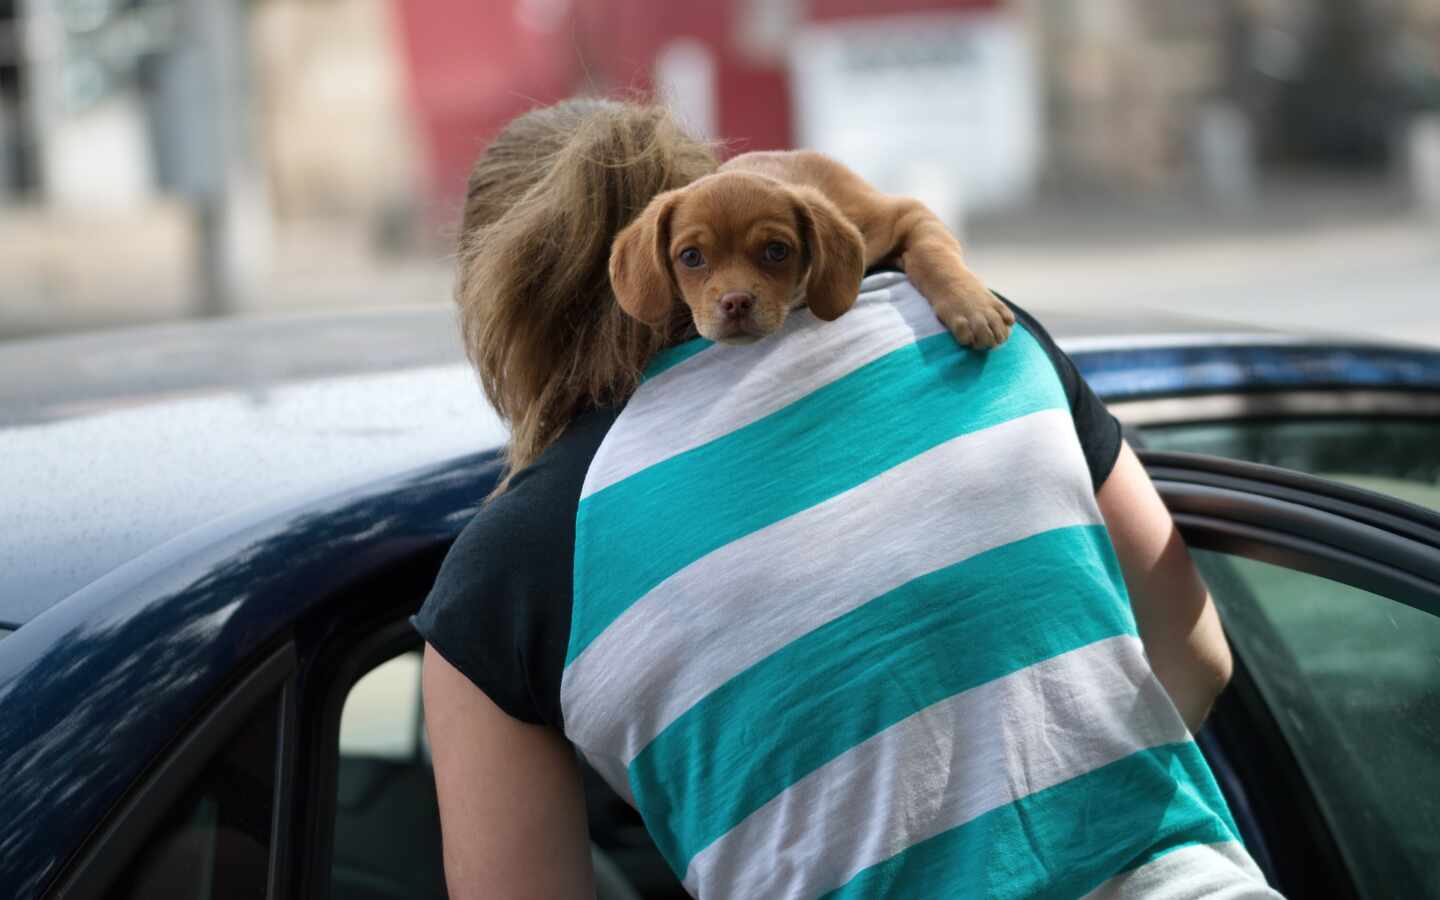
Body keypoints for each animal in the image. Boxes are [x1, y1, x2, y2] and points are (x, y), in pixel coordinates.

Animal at [607, 147, 1013, 347]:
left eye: (776, 251)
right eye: (691, 256)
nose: (736, 303)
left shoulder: (905, 214)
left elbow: (933, 255)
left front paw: (971, 306)